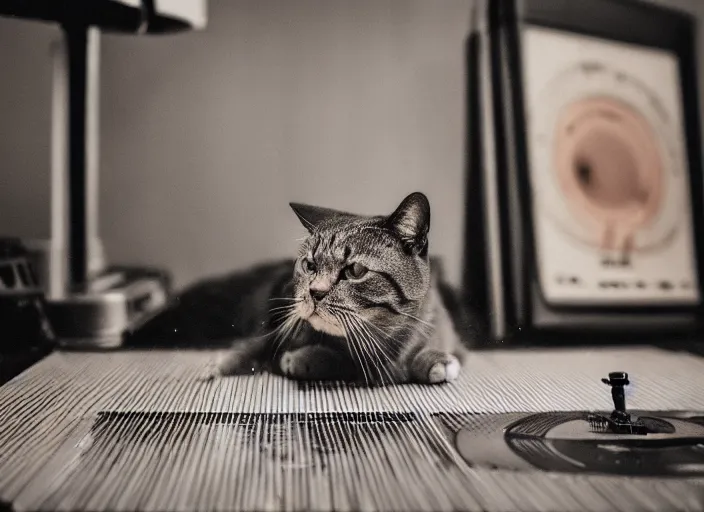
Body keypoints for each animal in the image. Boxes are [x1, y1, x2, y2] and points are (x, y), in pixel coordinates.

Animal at [129, 192, 482, 384]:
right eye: (309, 265)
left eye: (355, 270)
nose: (315, 292)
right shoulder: (277, 329)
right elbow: (254, 349)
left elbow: (437, 352)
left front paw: (435, 359)